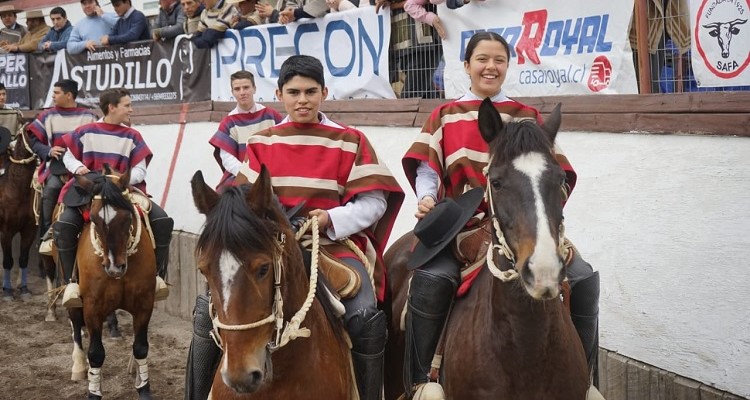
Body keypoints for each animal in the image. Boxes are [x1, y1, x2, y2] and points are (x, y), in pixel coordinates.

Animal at [65, 169, 158, 400]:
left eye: (127, 217)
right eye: (94, 219)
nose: (115, 267)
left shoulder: (144, 303)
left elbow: (140, 347)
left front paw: (143, 387)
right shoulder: (92, 306)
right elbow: (96, 353)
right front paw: (94, 392)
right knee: (75, 322)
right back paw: (79, 366)